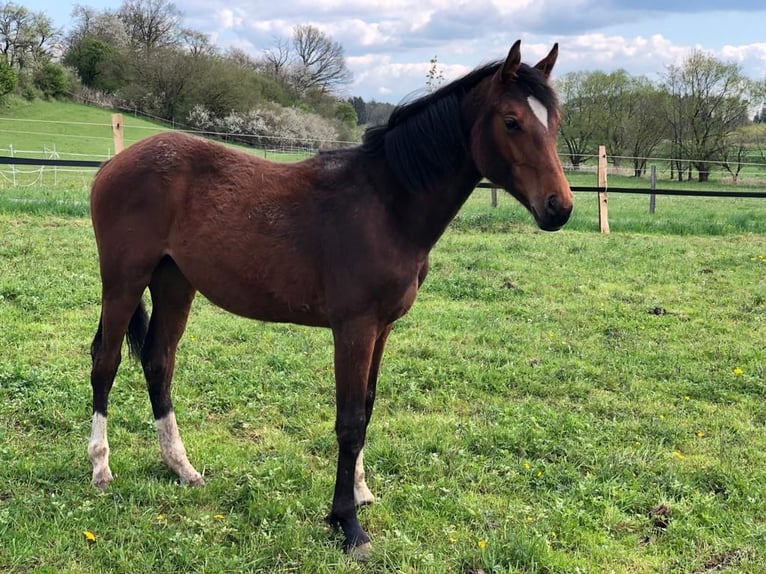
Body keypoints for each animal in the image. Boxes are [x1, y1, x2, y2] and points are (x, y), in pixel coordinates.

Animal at [87, 40, 572, 560]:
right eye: (511, 121)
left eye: (554, 121)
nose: (559, 208)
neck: (387, 205)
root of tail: (113, 165)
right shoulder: (354, 328)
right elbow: (350, 420)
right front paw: (348, 523)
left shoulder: (383, 327)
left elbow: (369, 405)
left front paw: (360, 492)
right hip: (124, 281)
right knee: (106, 362)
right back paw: (100, 467)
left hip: (175, 283)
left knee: (158, 362)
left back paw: (181, 467)